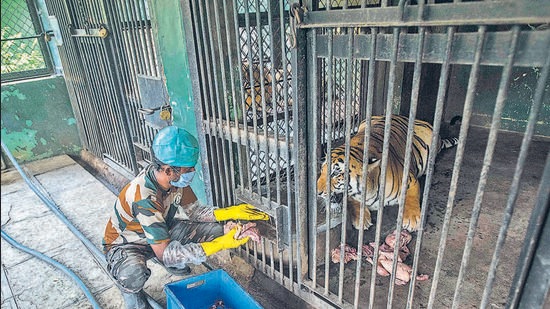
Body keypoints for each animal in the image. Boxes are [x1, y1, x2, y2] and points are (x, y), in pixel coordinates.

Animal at [316, 114, 464, 230]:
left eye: (336, 173)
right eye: (321, 171)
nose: (317, 192)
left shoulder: (410, 180)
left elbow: (411, 198)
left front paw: (412, 219)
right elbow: (353, 201)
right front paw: (361, 219)